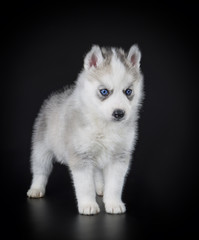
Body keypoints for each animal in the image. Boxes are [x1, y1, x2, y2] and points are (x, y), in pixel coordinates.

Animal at [27, 45, 144, 216]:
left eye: (128, 92)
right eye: (104, 92)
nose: (119, 113)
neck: (104, 125)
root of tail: (56, 95)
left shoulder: (119, 156)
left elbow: (115, 184)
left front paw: (113, 203)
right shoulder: (81, 155)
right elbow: (85, 185)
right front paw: (88, 205)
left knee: (97, 173)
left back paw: (101, 188)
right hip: (41, 148)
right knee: (41, 169)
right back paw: (36, 189)